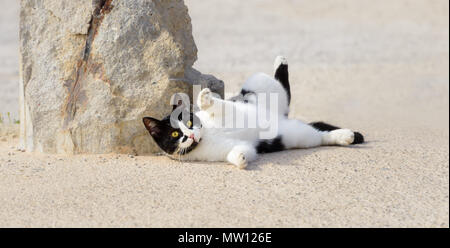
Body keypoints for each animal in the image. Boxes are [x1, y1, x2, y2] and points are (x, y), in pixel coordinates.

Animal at [142, 56, 364, 169]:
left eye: (189, 123)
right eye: (174, 134)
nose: (190, 135)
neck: (206, 137)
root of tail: (282, 117)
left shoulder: (228, 110)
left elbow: (216, 106)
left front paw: (204, 99)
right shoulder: (236, 148)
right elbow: (238, 152)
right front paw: (240, 159)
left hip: (259, 83)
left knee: (282, 88)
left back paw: (280, 61)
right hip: (300, 137)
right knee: (320, 136)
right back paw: (345, 136)